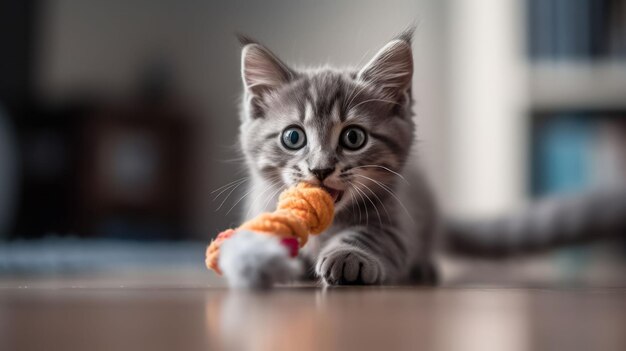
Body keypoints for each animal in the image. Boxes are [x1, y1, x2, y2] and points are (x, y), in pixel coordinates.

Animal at [234, 31, 624, 288]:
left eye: (353, 138)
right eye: (293, 137)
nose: (320, 168)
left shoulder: (399, 225)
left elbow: (374, 238)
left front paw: (349, 256)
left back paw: (424, 270)